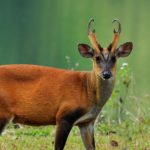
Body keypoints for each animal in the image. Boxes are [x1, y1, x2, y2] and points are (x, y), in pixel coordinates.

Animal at [0, 19, 133, 149]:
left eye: (114, 58)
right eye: (97, 58)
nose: (106, 74)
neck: (87, 90)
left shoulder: (87, 122)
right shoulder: (64, 115)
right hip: (3, 112)